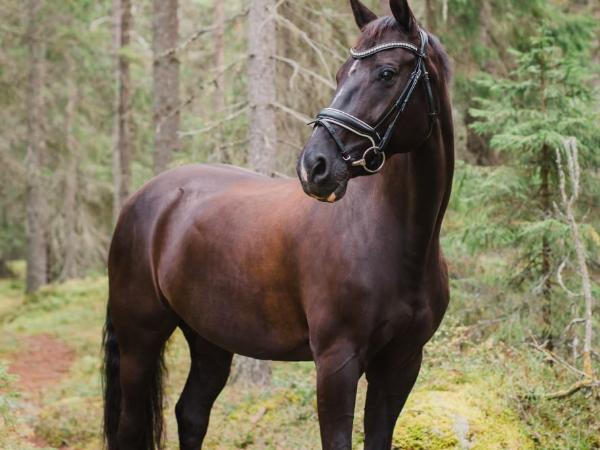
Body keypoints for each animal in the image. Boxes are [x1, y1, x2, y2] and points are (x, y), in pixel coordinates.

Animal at [102, 0, 454, 448]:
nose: (314, 166)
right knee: (131, 427)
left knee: (191, 413)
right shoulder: (337, 363)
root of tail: (141, 200)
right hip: (139, 340)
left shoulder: (401, 364)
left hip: (209, 339)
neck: (390, 238)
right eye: (340, 73)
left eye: (387, 73)